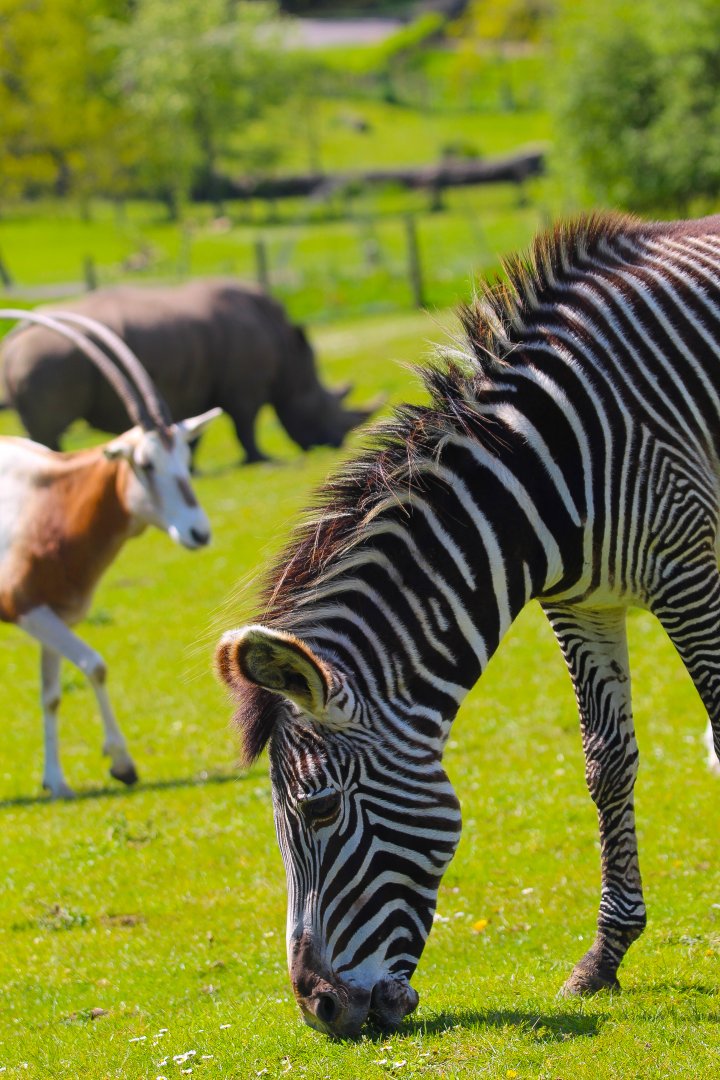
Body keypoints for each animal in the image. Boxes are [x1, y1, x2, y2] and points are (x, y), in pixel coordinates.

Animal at [0, 280, 376, 461]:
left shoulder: (196, 389)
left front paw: (191, 466)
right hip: (49, 357)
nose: (337, 443)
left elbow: (197, 433)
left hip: (43, 357)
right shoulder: (246, 387)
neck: (290, 360)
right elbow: (246, 425)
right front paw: (261, 460)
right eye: (322, 404)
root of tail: (15, 337)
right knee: (48, 431)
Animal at [216, 211, 720, 1037]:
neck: (546, 464)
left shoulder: (691, 573)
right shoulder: (582, 603)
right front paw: (604, 956)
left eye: (320, 808)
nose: (319, 1009)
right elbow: (607, 764)